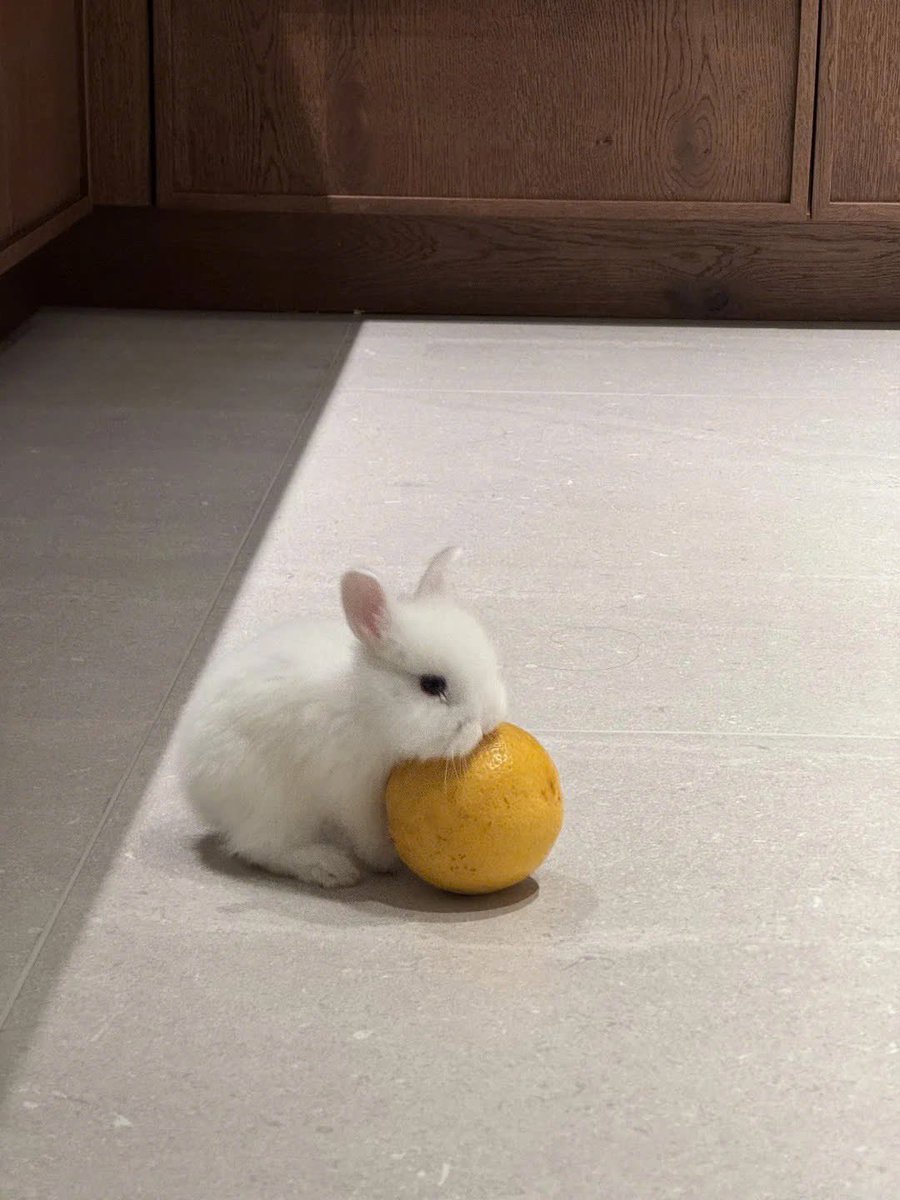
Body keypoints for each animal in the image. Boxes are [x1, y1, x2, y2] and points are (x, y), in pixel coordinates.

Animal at [176, 547, 507, 888]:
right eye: (432, 685)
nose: (488, 722)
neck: (370, 707)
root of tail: (193, 783)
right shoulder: (355, 793)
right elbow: (369, 833)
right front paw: (386, 861)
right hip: (273, 802)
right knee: (262, 848)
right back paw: (330, 868)